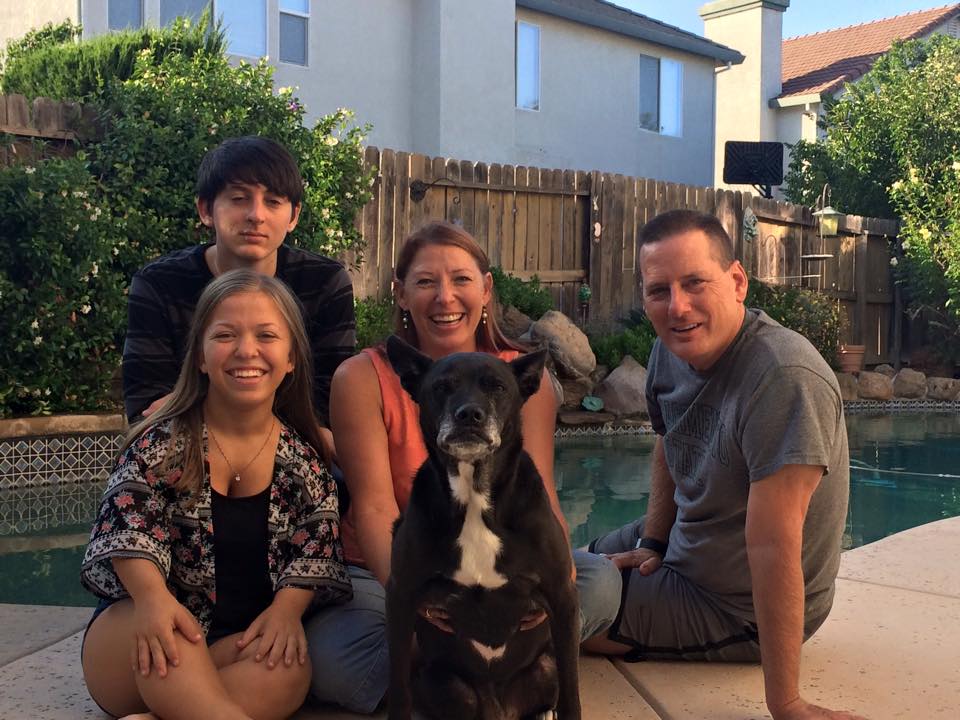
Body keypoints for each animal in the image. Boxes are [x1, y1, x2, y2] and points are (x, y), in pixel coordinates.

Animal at [384, 336, 580, 720]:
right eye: (441, 387)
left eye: (498, 387)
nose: (469, 415)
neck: (475, 498)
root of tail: (497, 709)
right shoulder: (400, 596)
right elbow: (396, 689)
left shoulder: (562, 597)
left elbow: (571, 693)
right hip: (434, 679)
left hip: (544, 667)